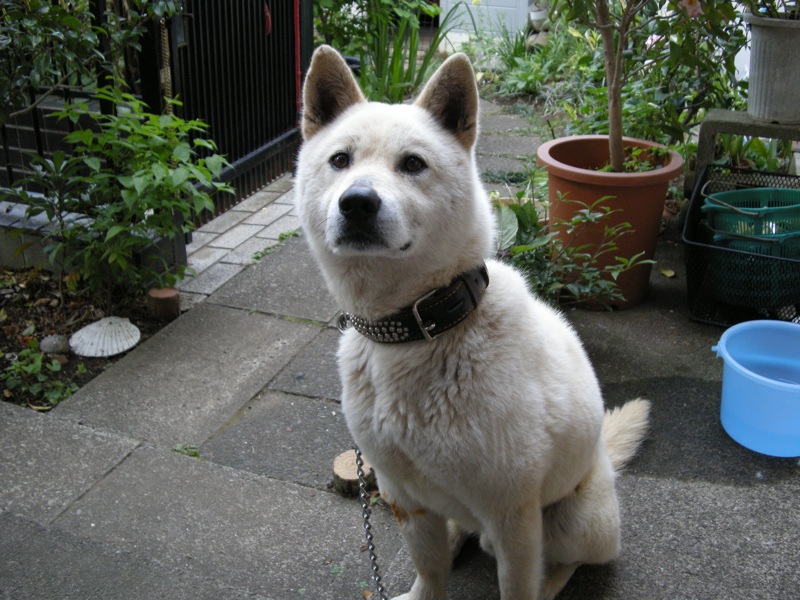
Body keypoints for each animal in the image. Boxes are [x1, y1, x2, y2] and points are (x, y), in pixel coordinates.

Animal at [294, 44, 648, 596]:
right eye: (339, 160)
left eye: (413, 164)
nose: (357, 202)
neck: (416, 329)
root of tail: (604, 459)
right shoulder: (403, 495)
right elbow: (430, 569)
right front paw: (422, 590)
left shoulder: (514, 515)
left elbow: (517, 587)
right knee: (460, 532)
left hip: (575, 521)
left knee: (567, 561)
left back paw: (552, 583)